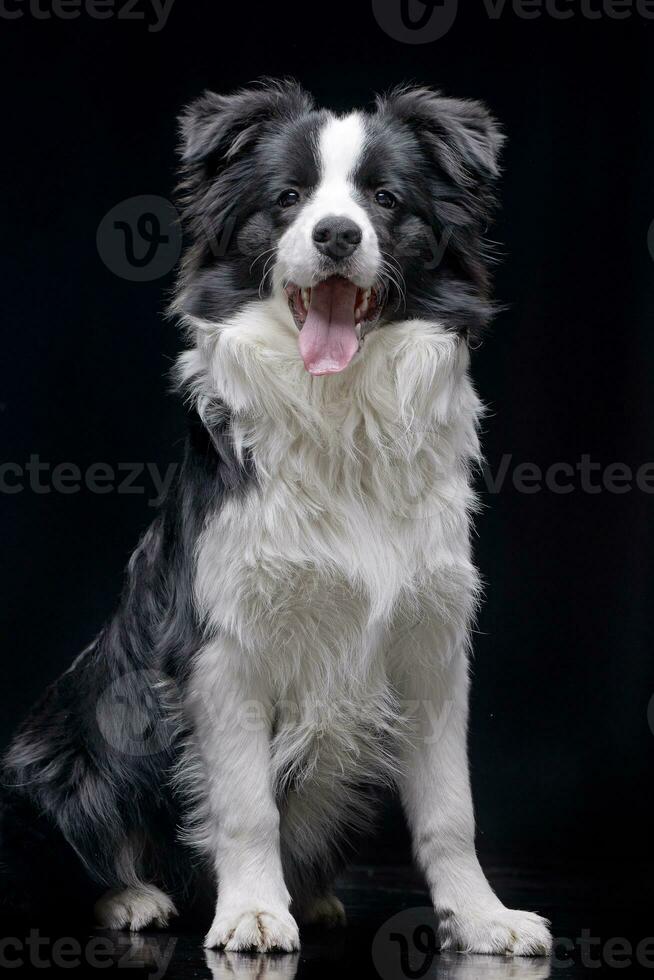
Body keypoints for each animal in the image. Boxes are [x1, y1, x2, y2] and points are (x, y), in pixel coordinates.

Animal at [0, 80, 552, 952]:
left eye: (385, 199)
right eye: (287, 199)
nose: (335, 234)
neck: (340, 409)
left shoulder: (432, 646)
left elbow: (450, 813)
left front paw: (482, 917)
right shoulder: (225, 650)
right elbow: (246, 807)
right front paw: (255, 912)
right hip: (66, 748)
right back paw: (134, 898)